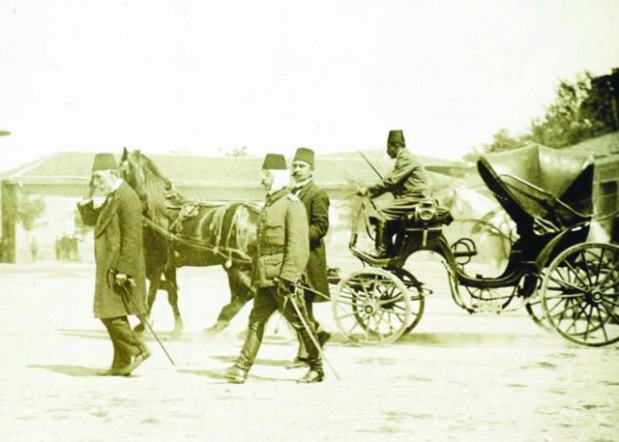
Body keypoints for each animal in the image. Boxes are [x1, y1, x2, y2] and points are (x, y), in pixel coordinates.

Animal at [118, 149, 260, 338]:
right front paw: (177, 327)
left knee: (251, 293)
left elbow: (153, 294)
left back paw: (223, 323)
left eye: (118, 171)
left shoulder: (158, 263)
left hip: (238, 266)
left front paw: (142, 325)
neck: (160, 211)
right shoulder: (168, 266)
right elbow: (171, 294)